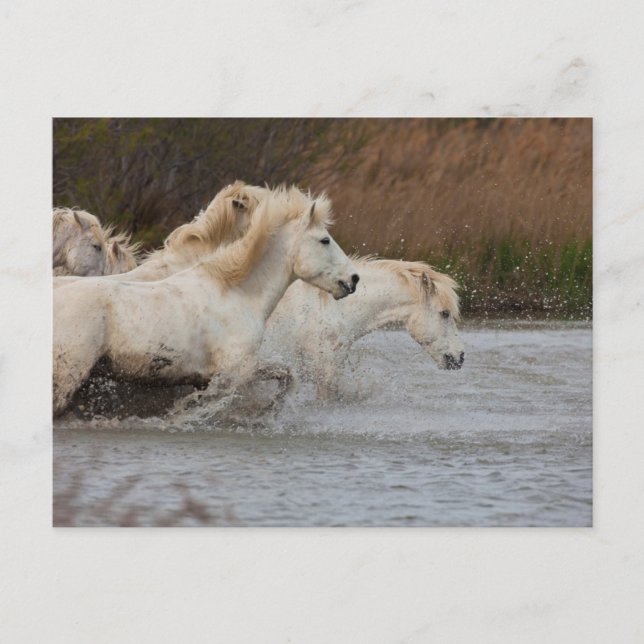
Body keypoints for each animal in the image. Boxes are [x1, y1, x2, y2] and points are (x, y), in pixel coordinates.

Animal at [53, 186, 360, 416]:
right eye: (324, 240)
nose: (353, 279)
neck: (236, 292)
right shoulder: (235, 373)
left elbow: (287, 375)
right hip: (70, 375)